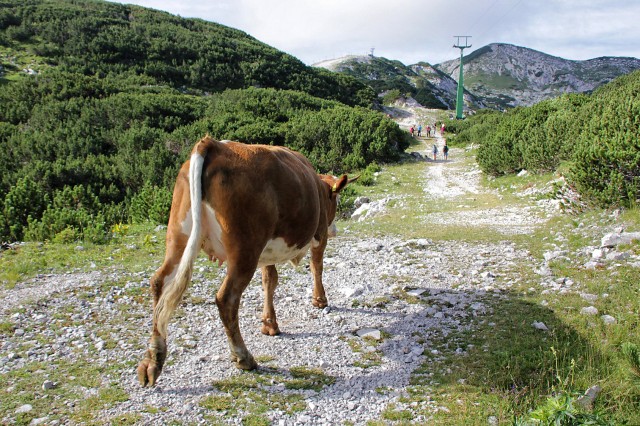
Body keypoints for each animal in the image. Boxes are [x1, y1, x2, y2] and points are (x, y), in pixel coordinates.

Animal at [137, 136, 356, 386]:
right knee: (227, 299)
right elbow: (316, 267)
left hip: (178, 236)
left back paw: (153, 360)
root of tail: (214, 144)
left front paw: (269, 324)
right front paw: (320, 300)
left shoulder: (267, 251)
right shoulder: (319, 236)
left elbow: (270, 280)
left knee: (159, 283)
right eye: (335, 199)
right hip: (245, 250)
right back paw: (243, 357)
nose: (335, 230)